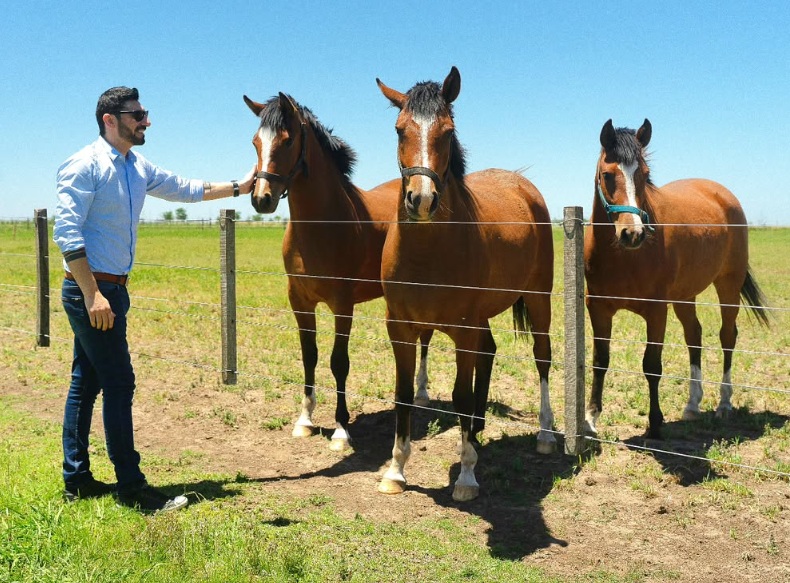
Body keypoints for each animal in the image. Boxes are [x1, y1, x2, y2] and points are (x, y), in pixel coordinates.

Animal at [246, 92, 434, 452]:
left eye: (287, 141)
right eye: (255, 142)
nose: (262, 199)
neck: (323, 225)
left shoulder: (342, 305)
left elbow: (338, 362)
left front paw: (341, 429)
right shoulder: (300, 302)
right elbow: (309, 356)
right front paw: (304, 421)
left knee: (426, 338)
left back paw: (421, 394)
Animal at [378, 66, 556, 500]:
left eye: (447, 131)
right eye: (399, 130)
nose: (421, 200)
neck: (427, 253)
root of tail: (523, 184)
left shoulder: (462, 330)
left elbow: (460, 395)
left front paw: (467, 475)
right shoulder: (401, 328)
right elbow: (403, 394)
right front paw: (396, 470)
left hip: (538, 299)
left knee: (542, 357)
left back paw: (544, 435)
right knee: (489, 351)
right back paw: (476, 428)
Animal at [584, 117, 772, 438]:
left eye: (645, 175)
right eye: (608, 175)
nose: (632, 234)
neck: (624, 258)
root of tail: (722, 194)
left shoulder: (657, 311)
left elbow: (651, 365)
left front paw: (655, 423)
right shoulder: (598, 308)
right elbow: (600, 361)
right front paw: (591, 418)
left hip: (728, 284)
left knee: (727, 336)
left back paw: (724, 403)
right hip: (685, 295)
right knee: (694, 336)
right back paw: (693, 405)